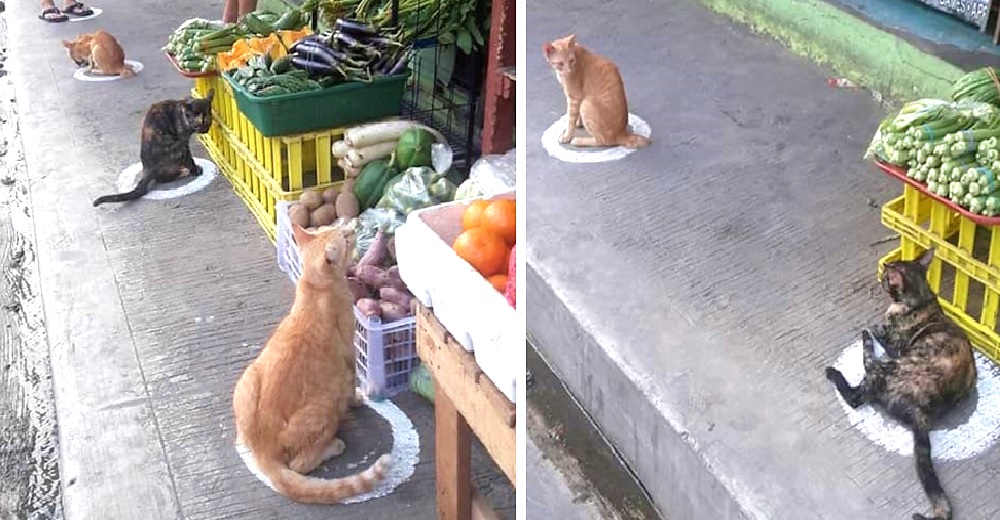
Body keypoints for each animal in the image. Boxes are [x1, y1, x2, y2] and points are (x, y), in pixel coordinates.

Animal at [232, 220, 392, 504]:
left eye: (337, 229)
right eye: (345, 238)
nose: (352, 227)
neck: (314, 286)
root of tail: (263, 450)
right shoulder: (348, 354)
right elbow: (353, 383)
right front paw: (358, 399)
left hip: (246, 379)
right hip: (327, 401)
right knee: (300, 465)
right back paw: (334, 446)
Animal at [828, 249, 976, 520]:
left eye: (888, 278)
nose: (880, 279)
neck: (920, 298)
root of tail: (923, 411)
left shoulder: (893, 345)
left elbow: (880, 331)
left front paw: (872, 328)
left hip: (889, 365)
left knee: (857, 392)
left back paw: (836, 369)